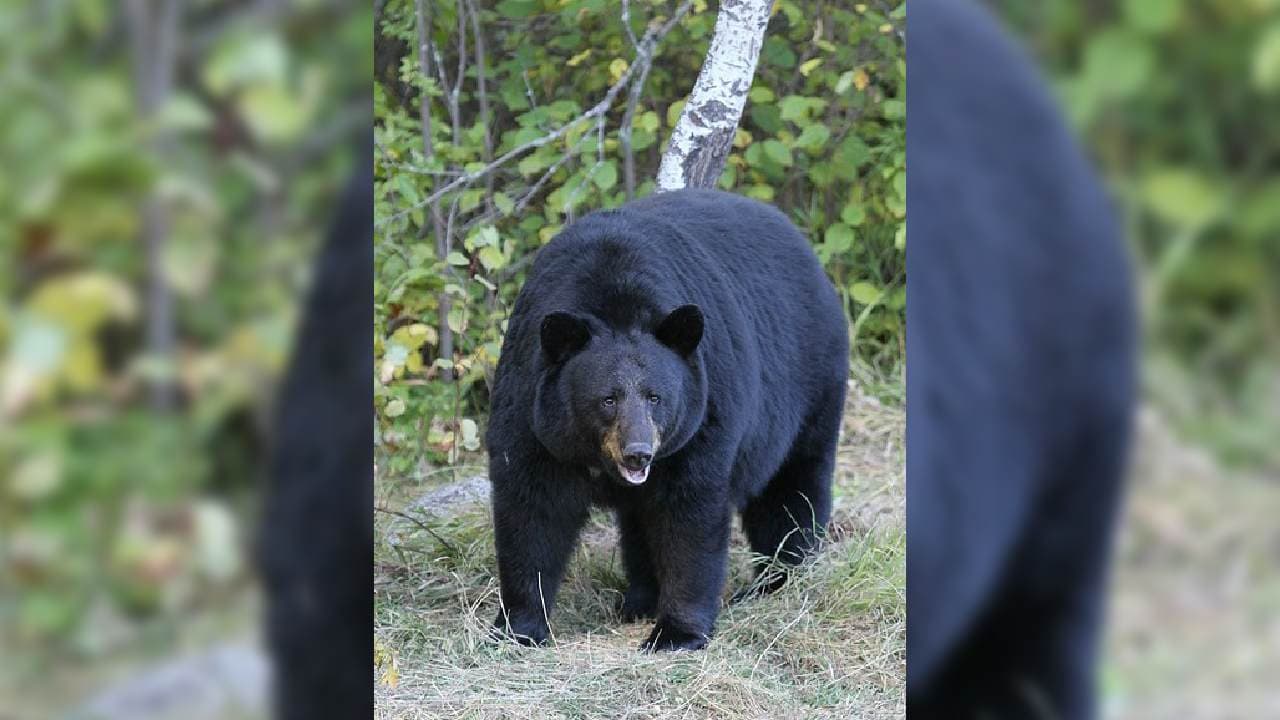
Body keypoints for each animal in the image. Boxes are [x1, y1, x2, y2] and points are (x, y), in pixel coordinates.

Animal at [485, 188, 850, 651]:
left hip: (809, 386)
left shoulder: (702, 416)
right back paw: (639, 600)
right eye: (607, 399)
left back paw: (779, 580)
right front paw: (519, 627)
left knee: (791, 489)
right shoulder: (531, 411)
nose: (638, 453)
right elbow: (531, 509)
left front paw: (676, 633)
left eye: (655, 397)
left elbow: (689, 515)